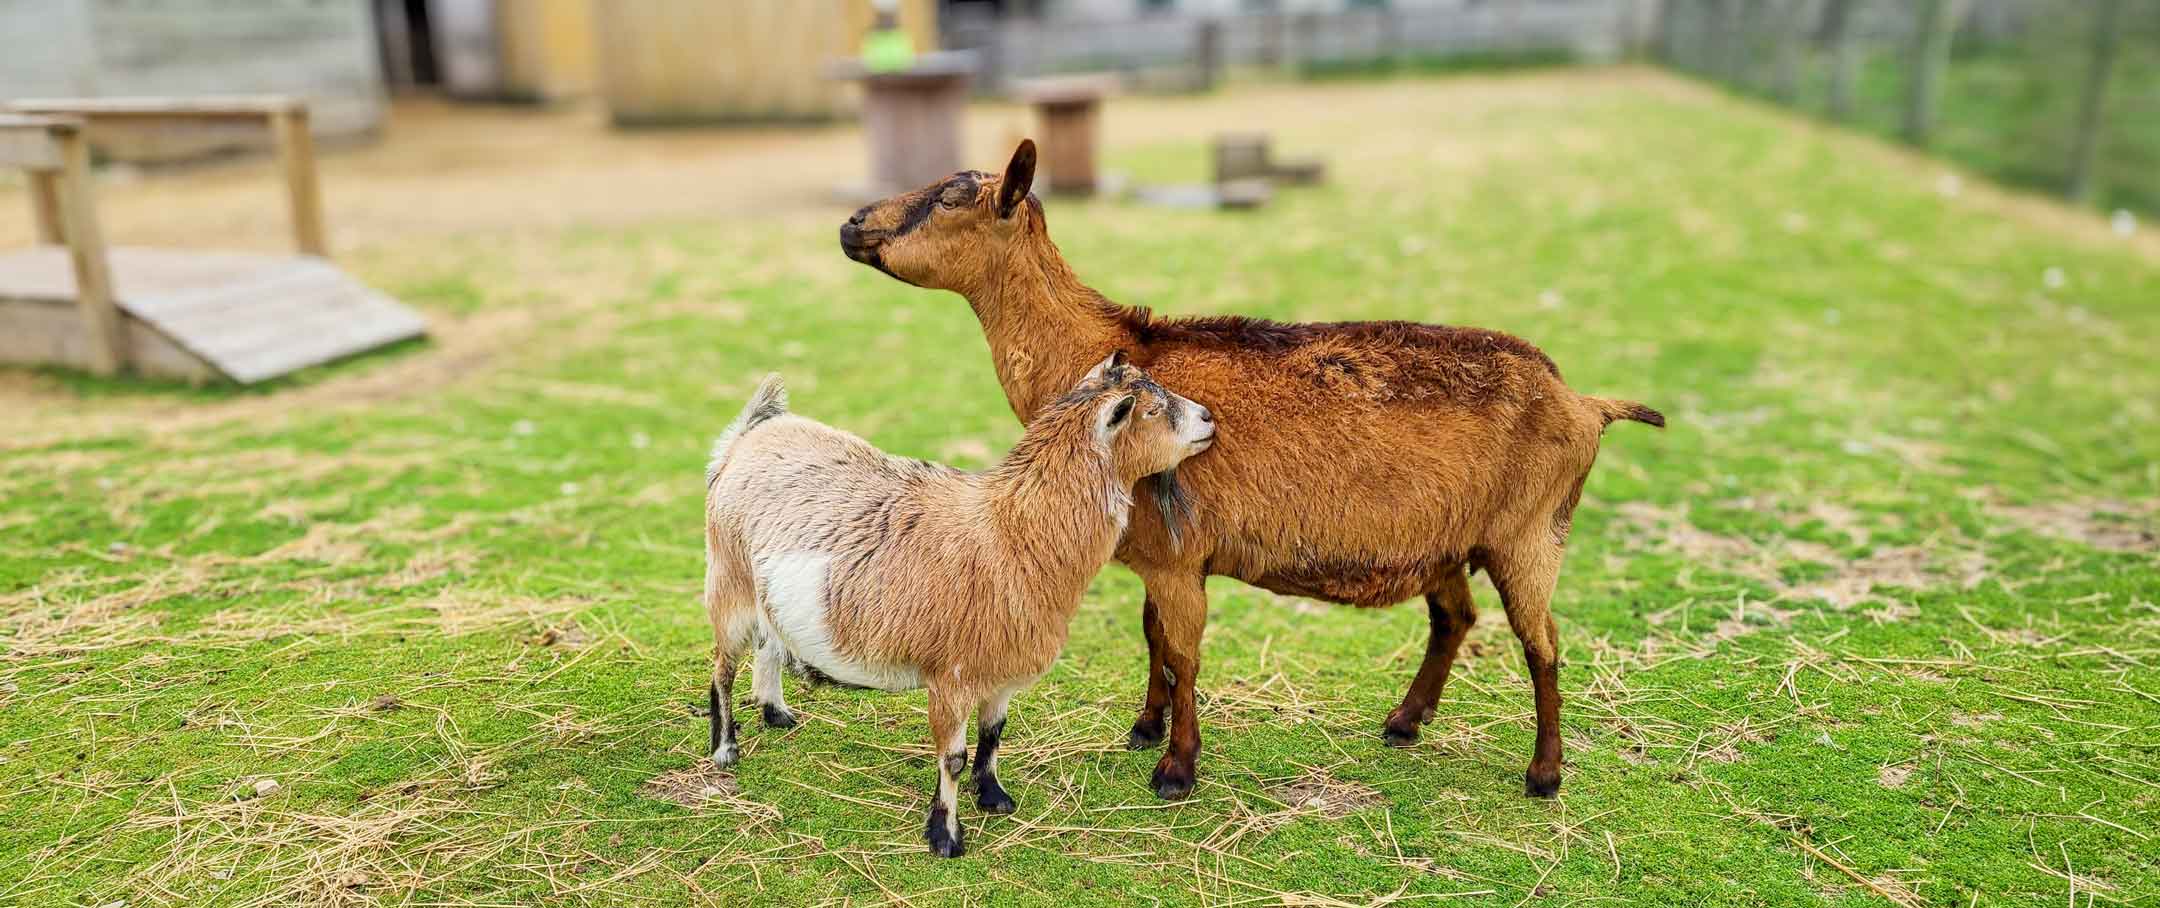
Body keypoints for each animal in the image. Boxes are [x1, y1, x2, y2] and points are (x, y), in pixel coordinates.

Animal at [703, 356, 1214, 857]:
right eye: (1151, 411)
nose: (1209, 418)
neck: (1014, 534)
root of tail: (749, 437)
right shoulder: (952, 677)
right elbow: (953, 757)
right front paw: (945, 836)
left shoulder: (1001, 673)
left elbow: (993, 734)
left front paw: (993, 796)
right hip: (728, 584)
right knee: (722, 670)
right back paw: (726, 749)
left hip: (764, 595)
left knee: (767, 643)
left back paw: (775, 712)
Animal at [839, 140, 1664, 801]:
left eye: (952, 196)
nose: (851, 225)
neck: (1101, 352)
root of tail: (1585, 403)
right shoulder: (1159, 551)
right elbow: (1153, 638)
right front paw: (1146, 726)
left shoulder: (1177, 553)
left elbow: (1184, 651)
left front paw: (1176, 769)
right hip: (1448, 543)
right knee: (1454, 618)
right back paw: (1404, 722)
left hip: (1530, 534)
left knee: (1542, 643)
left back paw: (1544, 774)